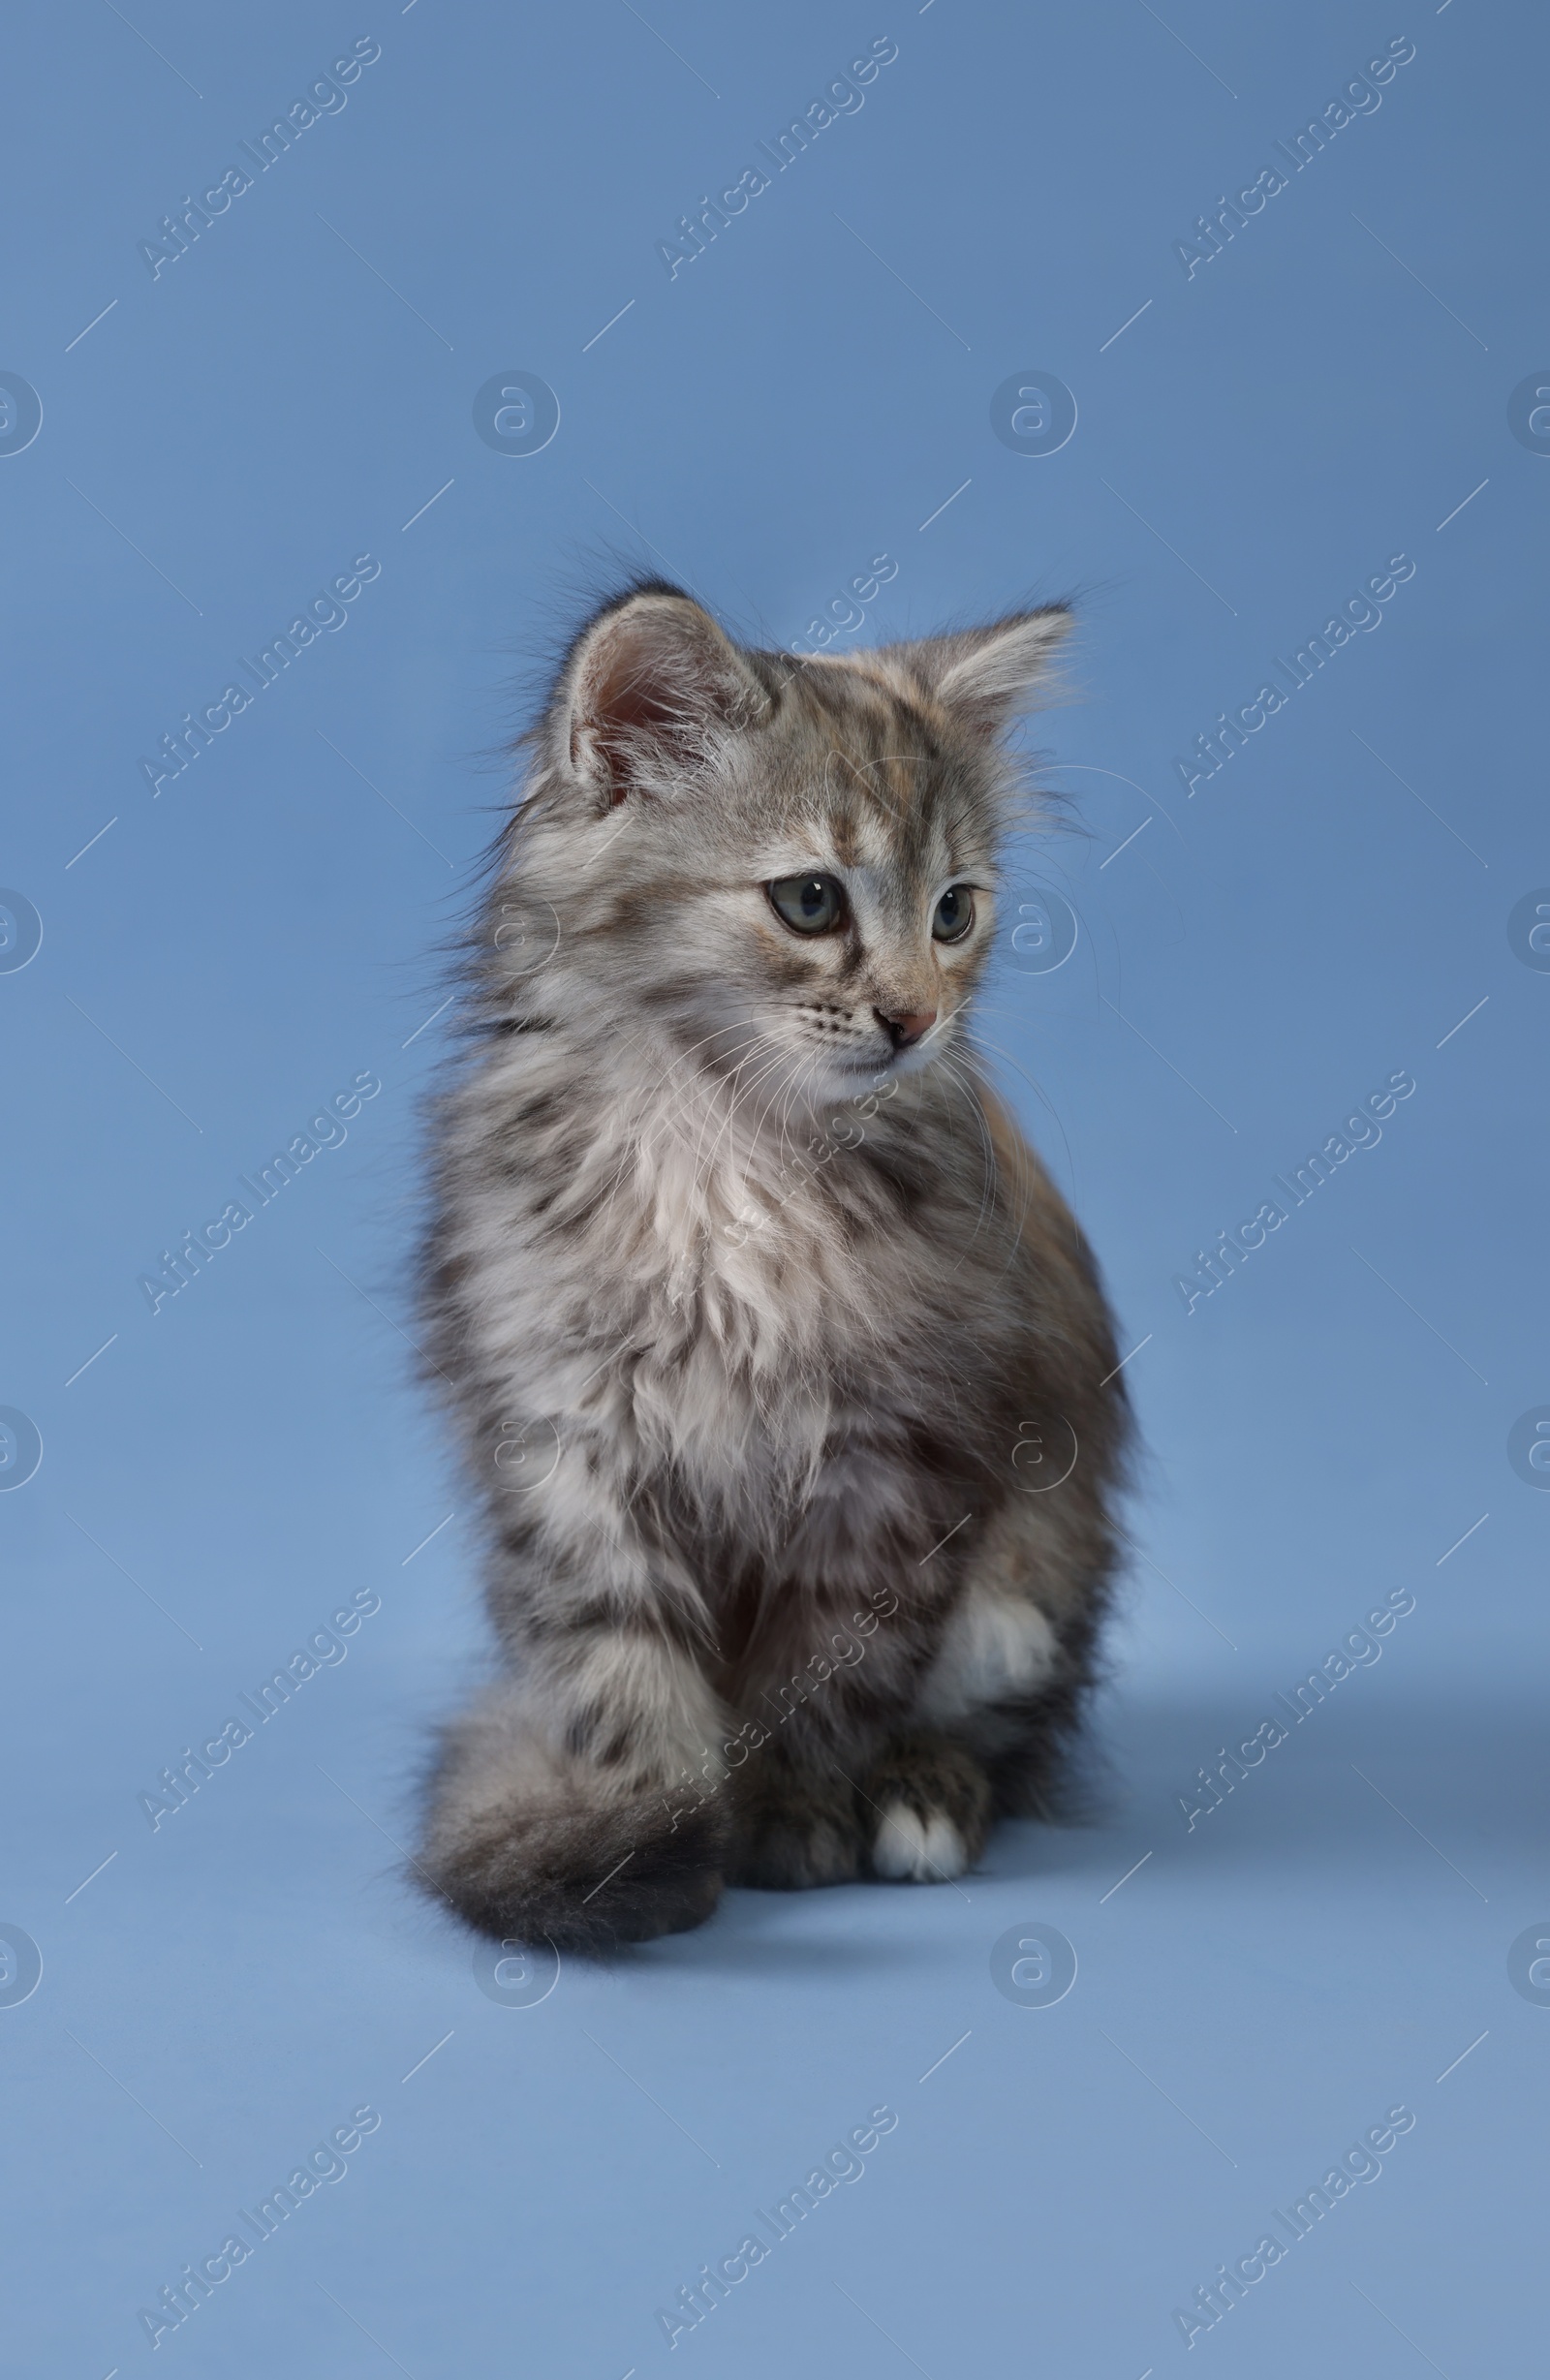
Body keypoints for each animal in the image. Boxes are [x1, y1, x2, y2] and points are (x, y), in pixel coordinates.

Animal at [418, 580, 1132, 1951]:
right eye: (810, 902)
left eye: (953, 912)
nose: (916, 1019)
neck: (719, 1143)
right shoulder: (566, 1439)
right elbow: (624, 1679)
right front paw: (643, 1828)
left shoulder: (894, 1461)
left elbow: (823, 1680)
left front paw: (791, 1816)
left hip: (1026, 1592)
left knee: (1007, 1737)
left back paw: (920, 1797)